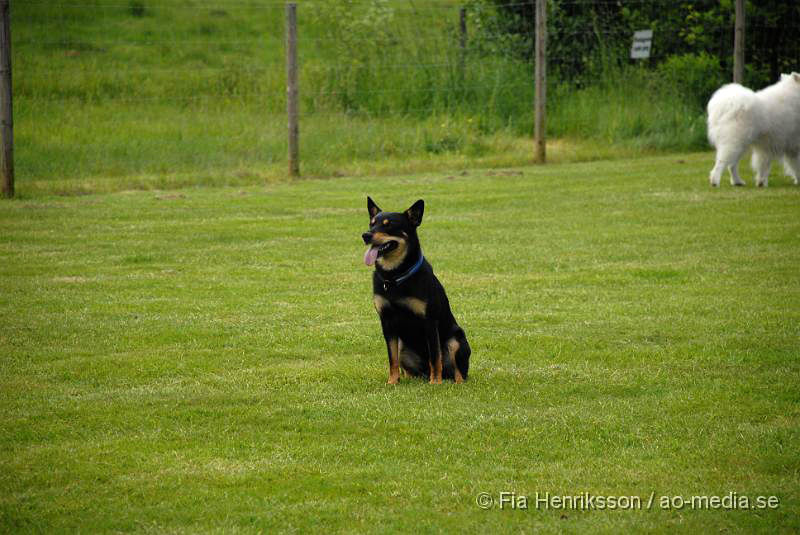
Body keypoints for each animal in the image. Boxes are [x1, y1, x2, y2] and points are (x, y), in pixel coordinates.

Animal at [360, 197, 468, 386]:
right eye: (371, 224)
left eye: (389, 225)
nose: (366, 235)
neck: (395, 276)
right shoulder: (386, 321)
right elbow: (392, 359)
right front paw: (392, 382)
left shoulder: (429, 321)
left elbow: (435, 357)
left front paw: (435, 383)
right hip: (403, 345)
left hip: (456, 339)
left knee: (455, 369)